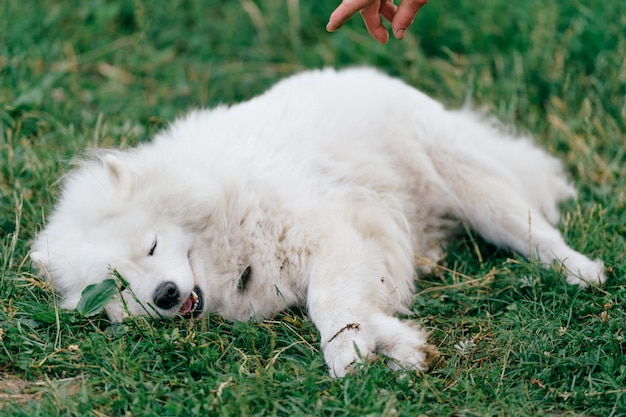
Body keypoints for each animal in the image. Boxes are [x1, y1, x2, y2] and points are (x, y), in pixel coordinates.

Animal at [30, 67, 604, 376]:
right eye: (120, 287)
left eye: (151, 246)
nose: (167, 295)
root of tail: (363, 74)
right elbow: (356, 308)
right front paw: (399, 347)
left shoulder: (332, 237)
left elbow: (331, 307)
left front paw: (347, 355)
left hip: (473, 186)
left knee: (535, 233)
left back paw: (582, 271)